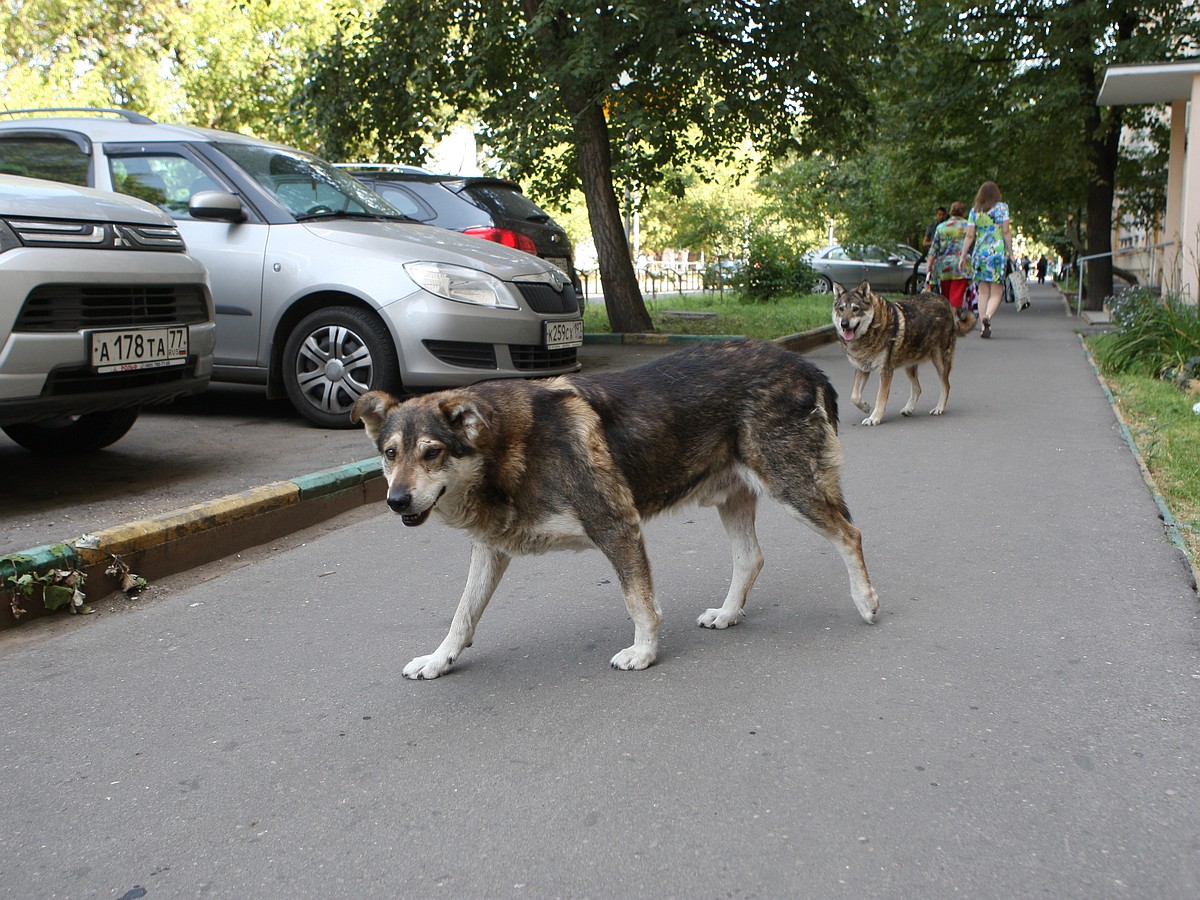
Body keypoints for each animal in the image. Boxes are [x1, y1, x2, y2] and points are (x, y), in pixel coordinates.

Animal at [350, 340, 878, 681]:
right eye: (390, 454)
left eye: (432, 452)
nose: (396, 500)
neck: (507, 451)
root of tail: (804, 365)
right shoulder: (490, 550)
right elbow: (462, 616)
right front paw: (439, 660)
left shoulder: (617, 528)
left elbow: (639, 603)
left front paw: (644, 653)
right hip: (733, 499)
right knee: (751, 558)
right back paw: (729, 614)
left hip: (793, 489)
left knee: (850, 535)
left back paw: (866, 601)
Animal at [835, 282, 974, 427]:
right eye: (841, 309)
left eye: (855, 309)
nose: (844, 324)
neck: (871, 329)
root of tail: (945, 301)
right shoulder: (862, 369)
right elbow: (854, 397)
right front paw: (866, 407)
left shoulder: (885, 372)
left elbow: (880, 397)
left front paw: (874, 418)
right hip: (909, 365)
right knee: (918, 388)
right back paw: (908, 409)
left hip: (940, 363)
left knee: (946, 386)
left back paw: (939, 408)